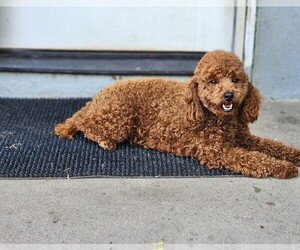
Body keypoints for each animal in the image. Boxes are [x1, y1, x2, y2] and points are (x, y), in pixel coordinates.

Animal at [55, 50, 300, 178]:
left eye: (235, 79)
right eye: (213, 81)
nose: (229, 95)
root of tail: (98, 96)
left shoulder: (244, 138)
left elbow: (272, 145)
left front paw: (294, 155)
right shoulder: (215, 151)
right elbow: (252, 157)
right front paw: (283, 167)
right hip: (118, 119)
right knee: (85, 124)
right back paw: (103, 140)